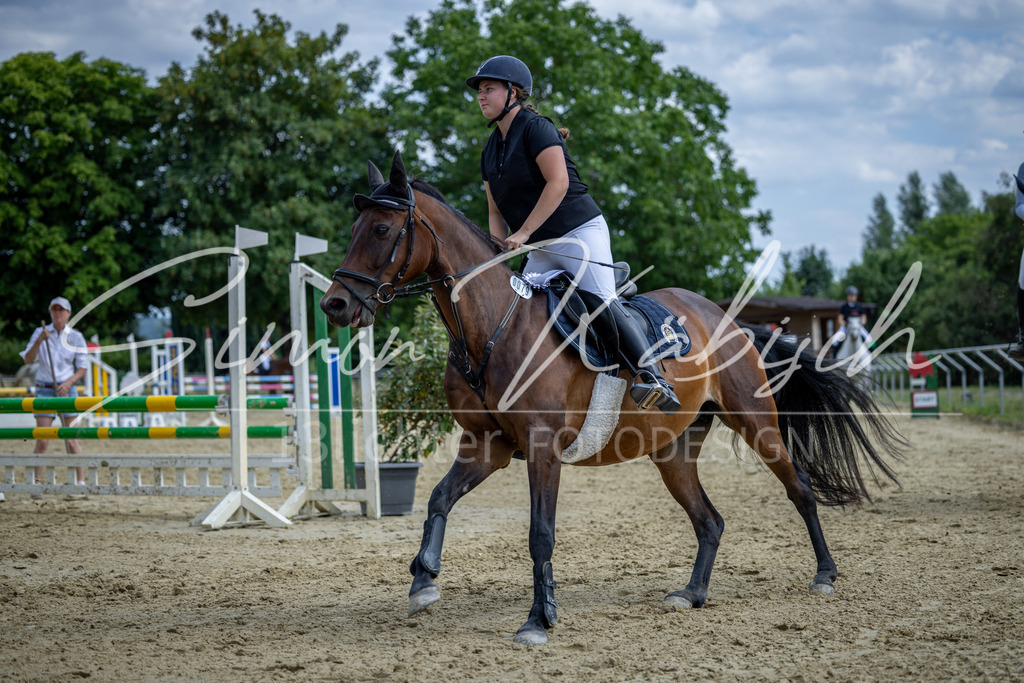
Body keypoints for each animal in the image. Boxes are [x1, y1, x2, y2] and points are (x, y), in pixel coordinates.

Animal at [320, 153, 904, 645]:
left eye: (380, 229)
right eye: (353, 229)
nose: (335, 304)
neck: (492, 328)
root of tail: (729, 319)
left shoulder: (542, 448)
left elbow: (540, 534)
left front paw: (539, 620)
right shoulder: (487, 444)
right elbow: (439, 499)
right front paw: (423, 582)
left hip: (755, 422)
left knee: (799, 489)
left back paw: (824, 575)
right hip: (673, 450)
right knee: (709, 520)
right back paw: (691, 593)